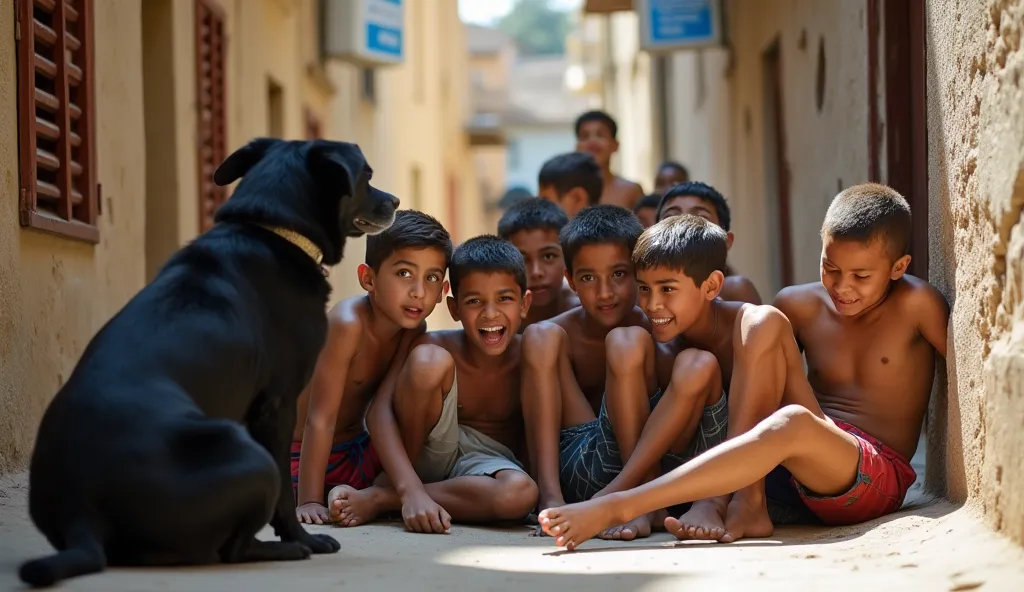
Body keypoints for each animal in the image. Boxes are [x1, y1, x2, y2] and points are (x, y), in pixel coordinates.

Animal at [18, 138, 399, 585]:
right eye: (366, 176)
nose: (395, 201)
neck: (272, 230)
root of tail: (81, 512)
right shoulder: (278, 404)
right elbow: (286, 499)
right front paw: (306, 536)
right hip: (250, 456)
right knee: (233, 550)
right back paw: (288, 549)